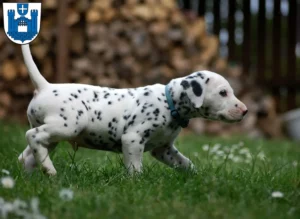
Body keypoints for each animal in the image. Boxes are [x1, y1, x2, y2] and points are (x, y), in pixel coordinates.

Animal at [19, 43, 248, 175]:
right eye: (223, 93)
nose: (245, 111)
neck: (168, 103)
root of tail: (45, 86)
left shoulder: (164, 149)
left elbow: (186, 163)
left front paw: (198, 177)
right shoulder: (133, 140)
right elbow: (136, 169)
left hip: (53, 138)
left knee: (27, 155)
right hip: (69, 126)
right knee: (32, 135)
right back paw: (49, 170)